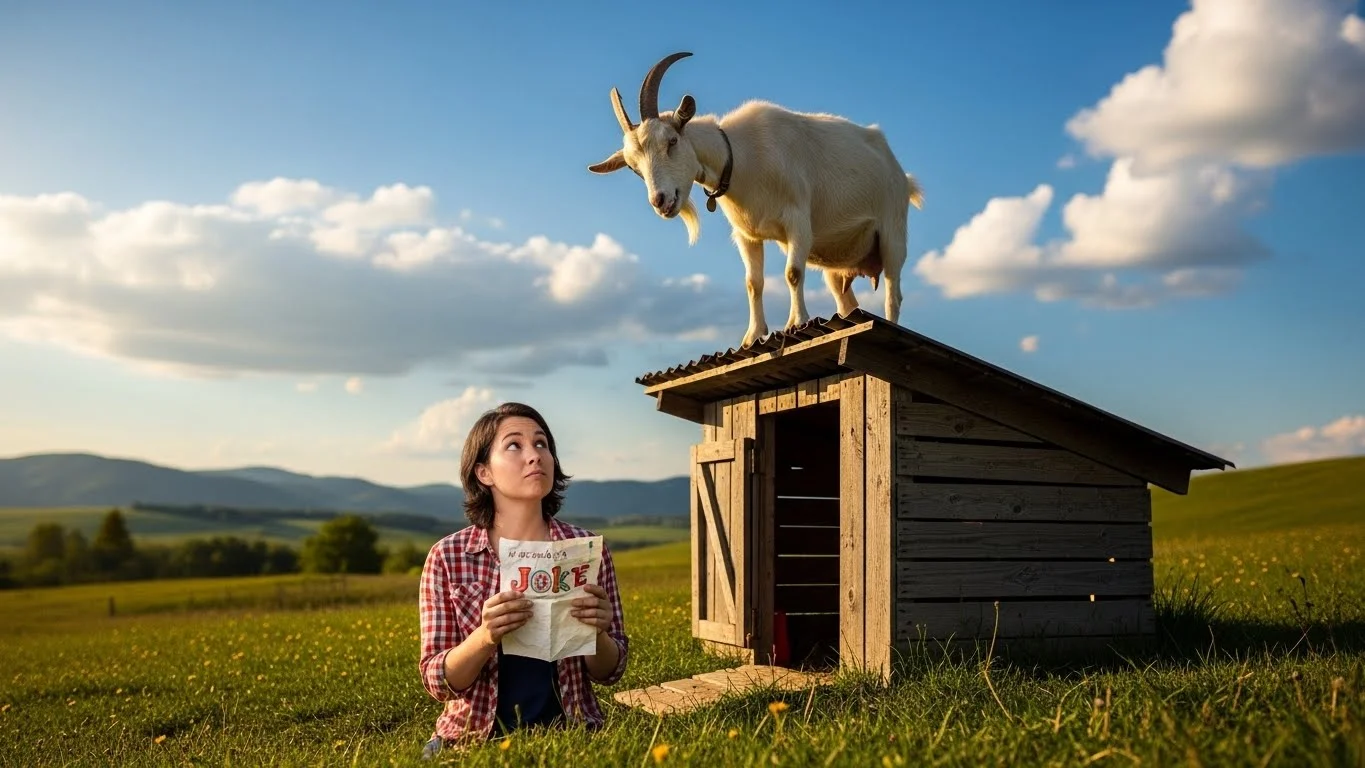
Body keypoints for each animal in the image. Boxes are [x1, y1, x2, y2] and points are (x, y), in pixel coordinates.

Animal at [588, 51, 923, 347]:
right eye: (634, 167)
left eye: (671, 141)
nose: (660, 201)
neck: (740, 158)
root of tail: (902, 177)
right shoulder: (747, 235)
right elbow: (753, 283)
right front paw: (752, 335)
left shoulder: (798, 222)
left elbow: (792, 273)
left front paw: (796, 322)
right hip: (837, 265)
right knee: (845, 298)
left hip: (893, 234)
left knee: (893, 293)